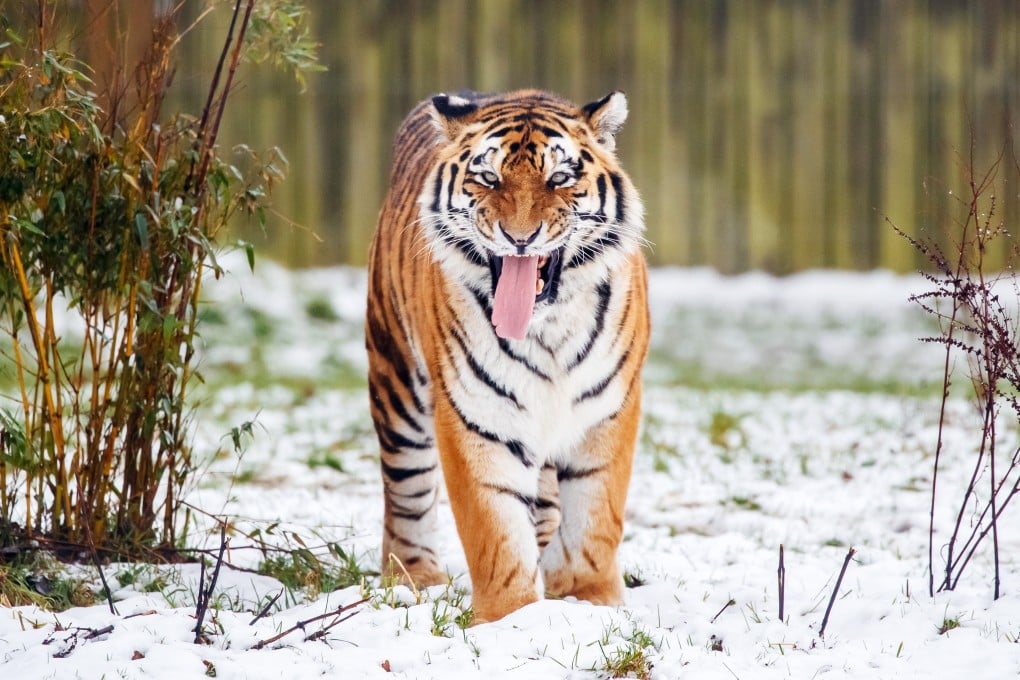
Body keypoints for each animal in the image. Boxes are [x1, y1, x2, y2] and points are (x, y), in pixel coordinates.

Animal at [365, 89, 649, 624]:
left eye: (559, 178)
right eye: (488, 178)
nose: (520, 237)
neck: (547, 327)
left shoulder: (608, 409)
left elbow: (595, 516)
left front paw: (589, 598)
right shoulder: (476, 415)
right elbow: (495, 529)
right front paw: (511, 618)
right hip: (396, 382)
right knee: (406, 490)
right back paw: (414, 577)